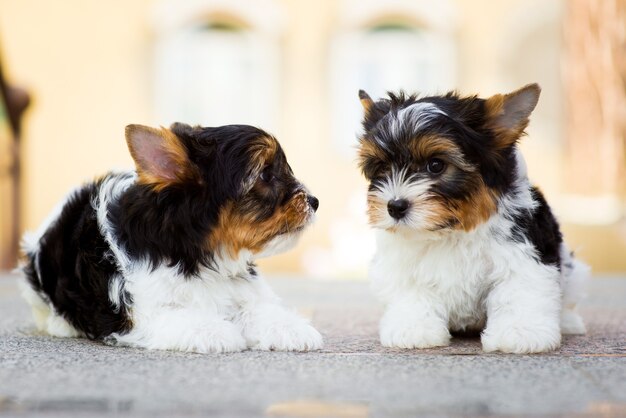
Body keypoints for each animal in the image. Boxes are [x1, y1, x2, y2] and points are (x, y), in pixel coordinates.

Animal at [19, 123, 322, 352]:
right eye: (265, 174)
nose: (315, 201)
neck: (206, 255)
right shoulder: (142, 312)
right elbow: (177, 316)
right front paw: (212, 330)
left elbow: (255, 307)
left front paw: (289, 328)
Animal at [356, 85, 584, 352]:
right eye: (382, 167)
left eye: (436, 165)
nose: (395, 206)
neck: (453, 230)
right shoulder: (402, 264)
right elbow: (412, 292)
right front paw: (414, 329)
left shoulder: (524, 254)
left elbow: (519, 290)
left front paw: (519, 332)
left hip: (573, 271)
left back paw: (569, 322)